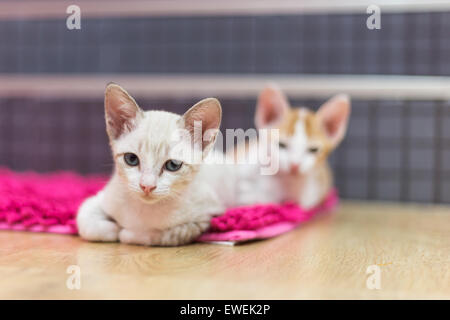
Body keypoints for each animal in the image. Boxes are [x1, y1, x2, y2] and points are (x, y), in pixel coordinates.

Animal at [76, 84, 229, 246]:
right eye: (131, 159)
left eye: (173, 165)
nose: (147, 186)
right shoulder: (102, 197)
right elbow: (85, 221)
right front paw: (111, 228)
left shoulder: (205, 219)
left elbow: (161, 235)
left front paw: (127, 232)